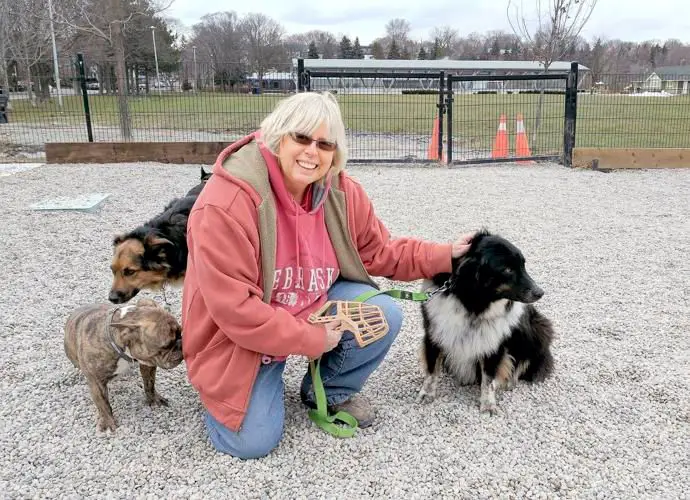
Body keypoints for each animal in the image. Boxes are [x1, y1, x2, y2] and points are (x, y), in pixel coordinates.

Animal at [63, 298, 183, 432]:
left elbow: (149, 384)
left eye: (180, 333)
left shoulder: (148, 364)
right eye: (166, 346)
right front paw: (108, 422)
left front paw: (153, 399)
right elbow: (103, 404)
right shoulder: (96, 383)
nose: (181, 343)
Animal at [414, 229, 552, 414]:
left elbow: (488, 377)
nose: (540, 292)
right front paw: (426, 394)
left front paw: (488, 405)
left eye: (523, 265)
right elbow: (431, 369)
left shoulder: (493, 342)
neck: (474, 305)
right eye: (507, 269)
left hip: (537, 328)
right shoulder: (434, 334)